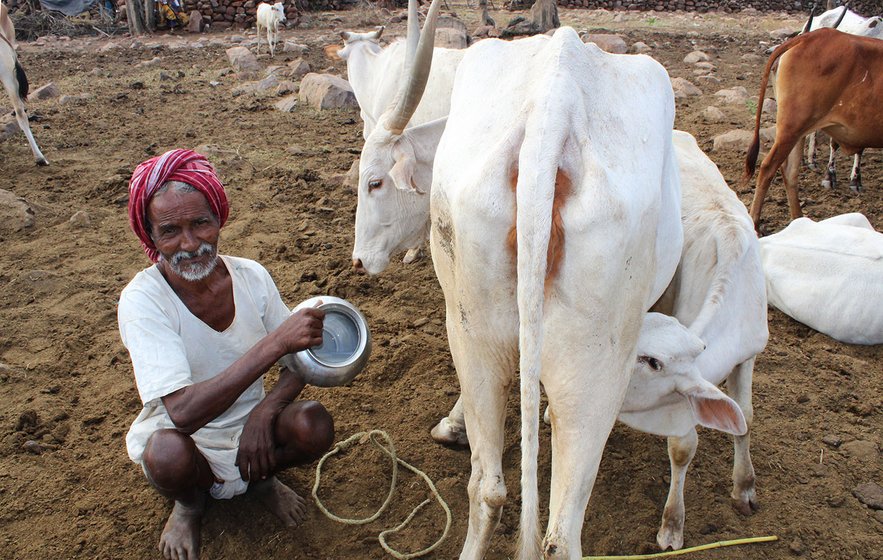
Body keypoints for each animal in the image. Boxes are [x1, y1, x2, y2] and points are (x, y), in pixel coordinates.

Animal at [744, 27, 883, 230]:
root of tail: (809, 36)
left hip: (797, 131)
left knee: (790, 171)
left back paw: (799, 221)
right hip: (792, 127)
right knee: (768, 168)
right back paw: (755, 222)